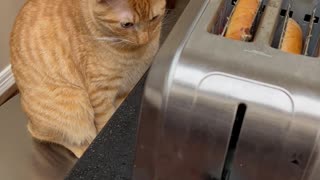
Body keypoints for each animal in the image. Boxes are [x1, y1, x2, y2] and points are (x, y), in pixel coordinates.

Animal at [10, 0, 165, 158]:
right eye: (127, 24)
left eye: (154, 18)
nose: (144, 39)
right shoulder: (100, 92)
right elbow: (106, 122)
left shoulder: (128, 87)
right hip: (74, 104)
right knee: (55, 135)